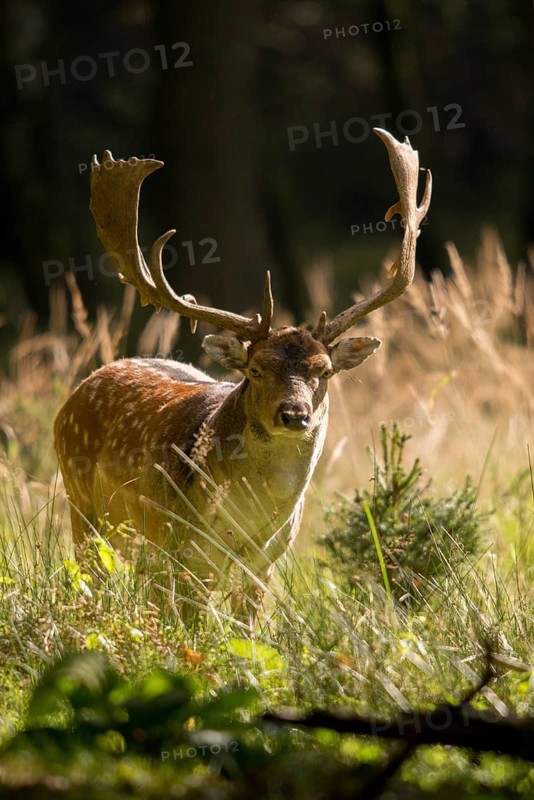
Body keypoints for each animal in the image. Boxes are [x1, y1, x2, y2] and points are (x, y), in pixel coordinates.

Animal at [54, 128, 431, 620]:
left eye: (325, 370)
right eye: (255, 369)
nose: (294, 414)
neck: (246, 521)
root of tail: (81, 388)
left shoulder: (267, 558)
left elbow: (246, 626)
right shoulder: (183, 546)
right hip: (83, 505)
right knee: (89, 574)